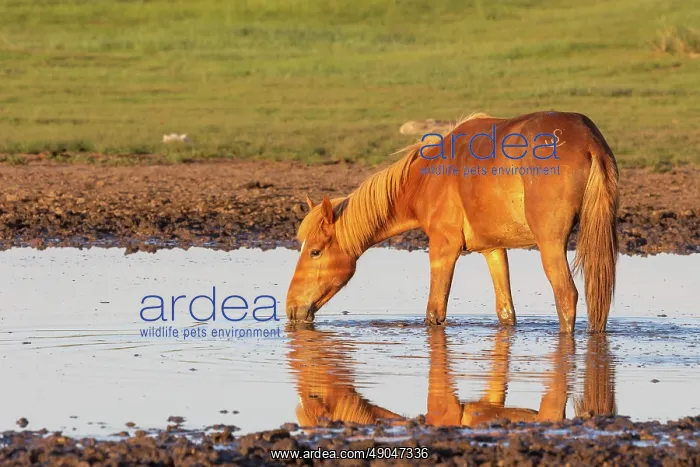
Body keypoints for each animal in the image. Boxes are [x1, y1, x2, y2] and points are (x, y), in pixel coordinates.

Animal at [286, 110, 619, 333]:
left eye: (315, 251)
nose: (290, 308)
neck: (425, 177)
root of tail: (587, 140)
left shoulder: (443, 249)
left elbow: (434, 313)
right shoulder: (493, 250)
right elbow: (506, 312)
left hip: (550, 245)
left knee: (566, 296)